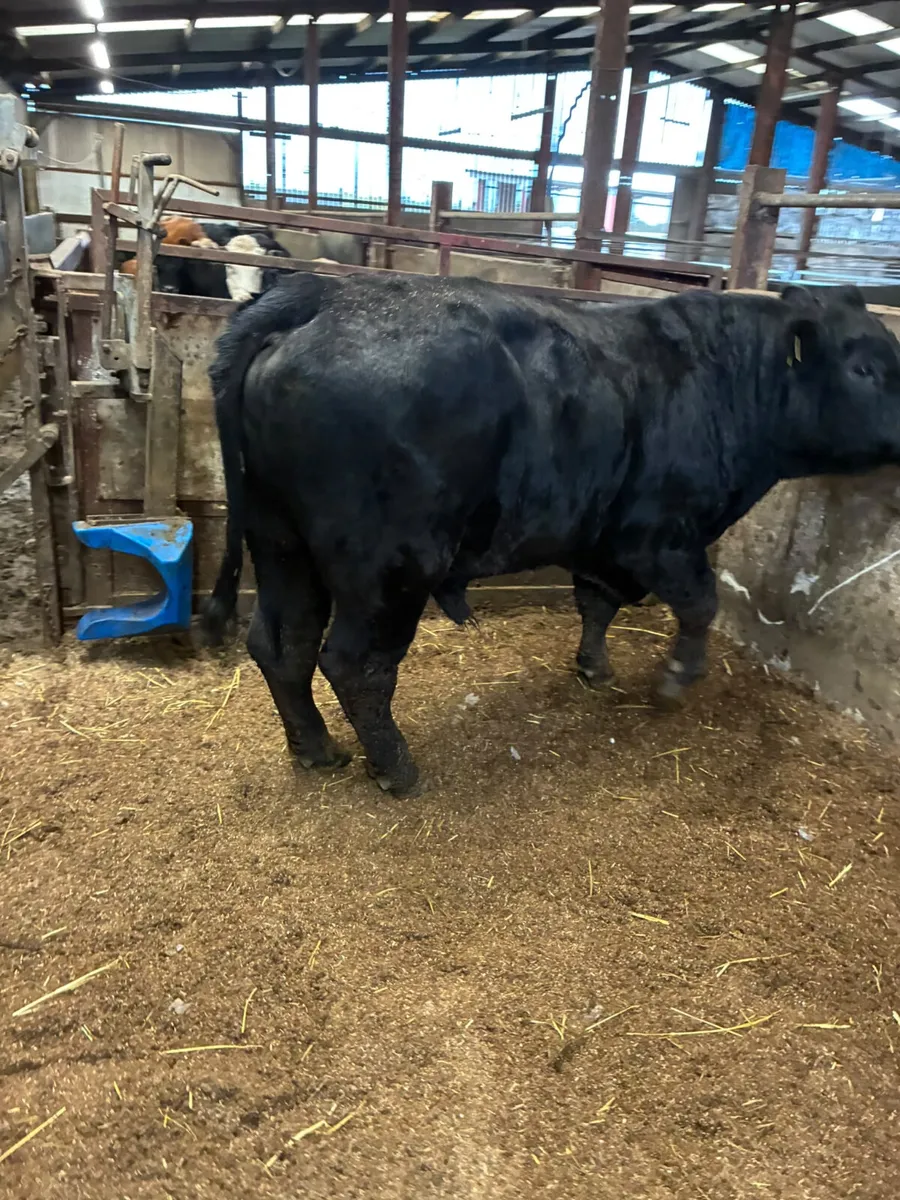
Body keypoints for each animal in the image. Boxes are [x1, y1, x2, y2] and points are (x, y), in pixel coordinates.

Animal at [203, 274, 900, 796]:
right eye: (864, 368)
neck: (721, 379)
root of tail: (322, 294)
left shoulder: (601, 538)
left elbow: (596, 603)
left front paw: (594, 667)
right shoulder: (660, 536)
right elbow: (702, 603)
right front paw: (674, 680)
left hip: (280, 543)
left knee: (281, 644)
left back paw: (317, 748)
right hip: (388, 568)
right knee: (355, 664)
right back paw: (397, 769)